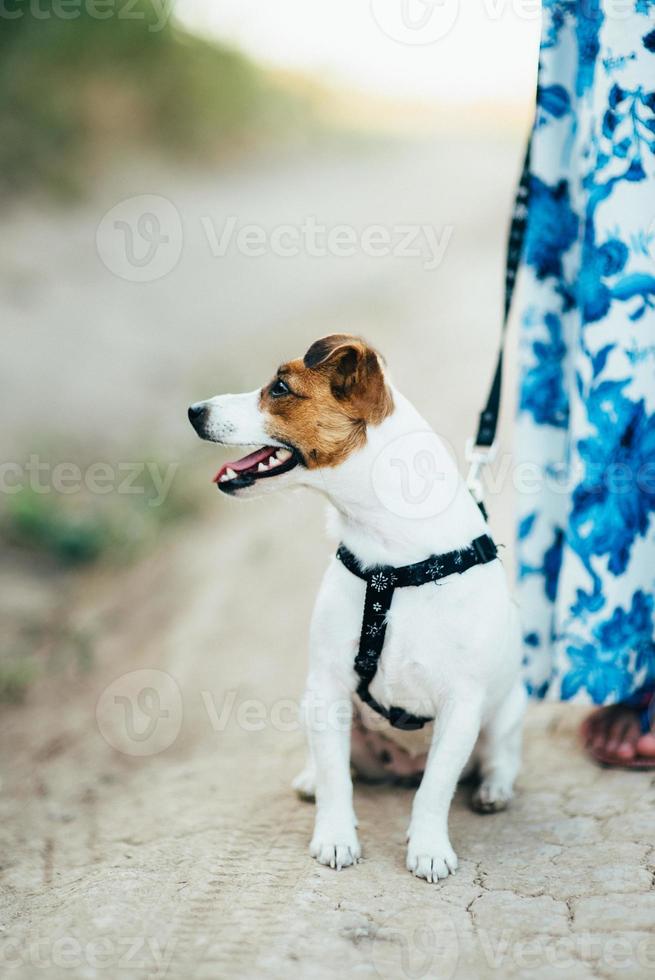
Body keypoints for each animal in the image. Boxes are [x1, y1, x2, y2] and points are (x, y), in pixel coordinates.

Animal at [187, 334, 524, 884]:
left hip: (506, 711)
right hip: (314, 704)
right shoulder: (328, 687)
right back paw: (310, 779)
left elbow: (435, 789)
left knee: (498, 757)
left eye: (280, 388)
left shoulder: (462, 704)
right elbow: (335, 780)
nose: (194, 410)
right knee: (333, 763)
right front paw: (335, 836)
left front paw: (428, 847)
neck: (392, 558)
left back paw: (494, 789)